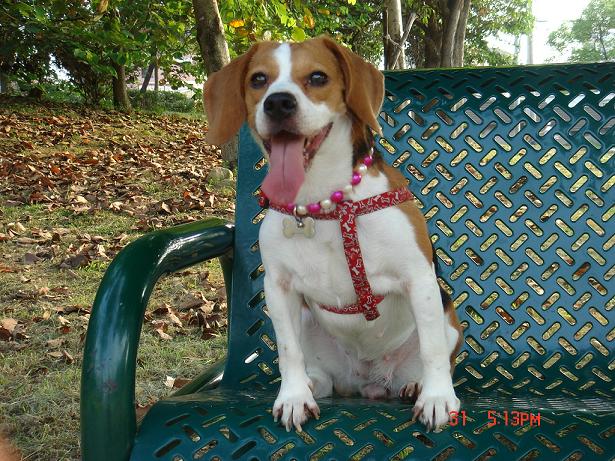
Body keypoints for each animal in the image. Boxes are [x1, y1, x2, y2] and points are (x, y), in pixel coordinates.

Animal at [203, 36, 462, 432]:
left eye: (317, 77)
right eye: (259, 79)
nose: (278, 102)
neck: (322, 202)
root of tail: (369, 382)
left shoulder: (419, 279)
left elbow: (431, 349)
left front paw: (436, 397)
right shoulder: (278, 288)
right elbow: (288, 352)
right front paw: (294, 396)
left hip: (448, 318)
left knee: (432, 353)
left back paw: (418, 385)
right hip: (310, 323)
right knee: (321, 375)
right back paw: (313, 384)